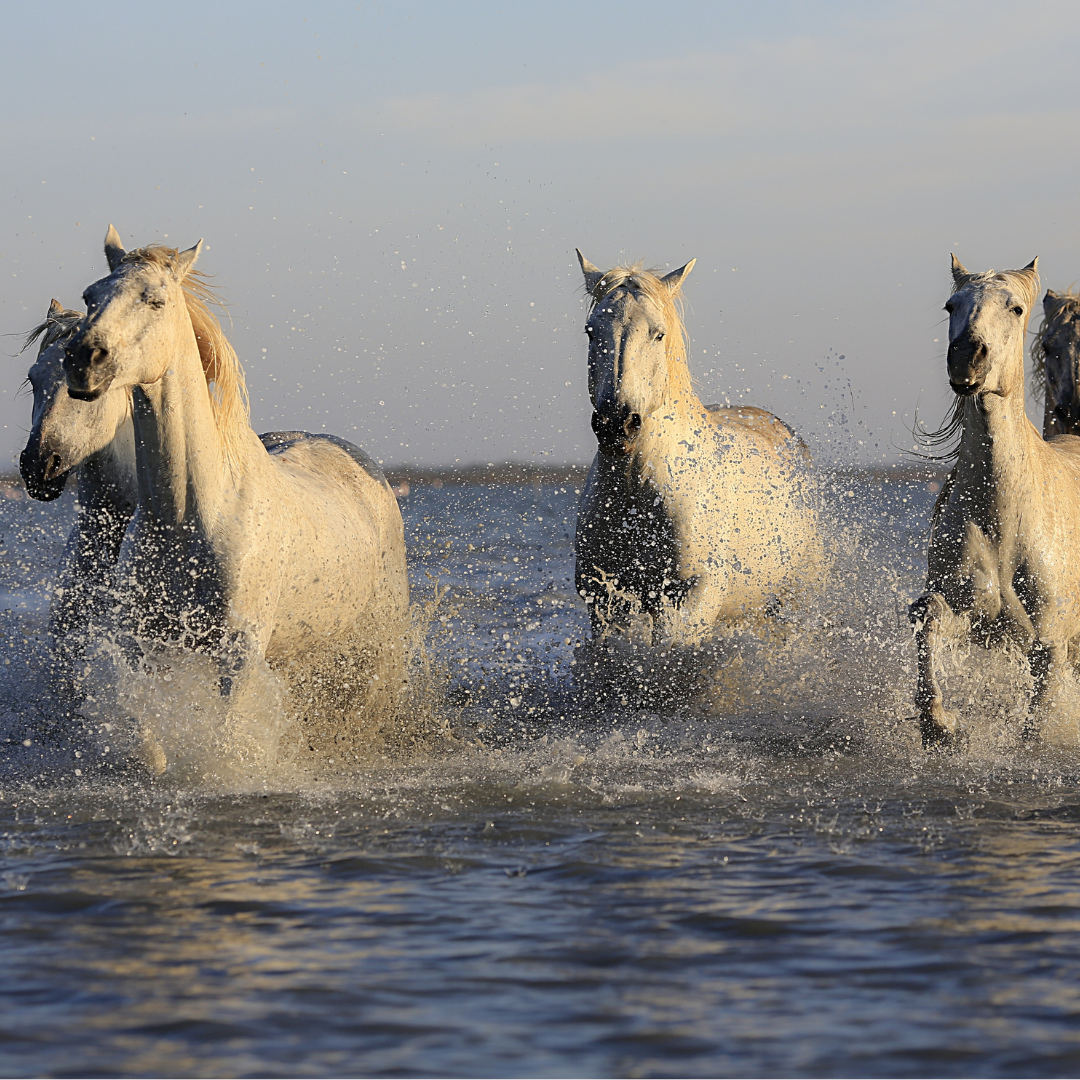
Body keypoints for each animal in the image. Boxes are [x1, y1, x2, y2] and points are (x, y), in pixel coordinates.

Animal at [63, 227, 410, 773]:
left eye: (155, 300)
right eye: (89, 295)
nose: (83, 360)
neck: (190, 515)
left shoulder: (238, 653)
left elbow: (227, 741)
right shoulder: (147, 644)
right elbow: (149, 739)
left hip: (380, 640)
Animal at [574, 250, 816, 691]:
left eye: (658, 334)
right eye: (591, 331)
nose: (617, 423)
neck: (637, 492)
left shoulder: (689, 598)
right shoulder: (605, 600)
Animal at [907, 259, 1080, 751]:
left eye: (1015, 308)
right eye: (952, 305)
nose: (967, 356)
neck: (1005, 519)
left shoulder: (1049, 645)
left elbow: (1036, 727)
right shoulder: (976, 619)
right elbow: (927, 620)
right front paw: (939, 725)